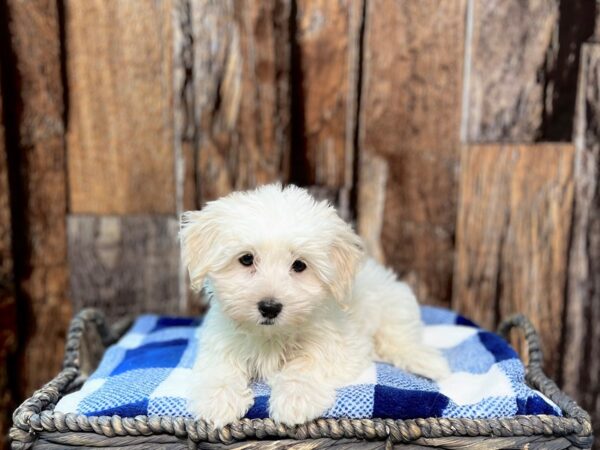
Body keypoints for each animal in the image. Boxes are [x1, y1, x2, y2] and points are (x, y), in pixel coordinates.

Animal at [180, 183, 448, 426]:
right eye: (246, 259)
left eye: (299, 265)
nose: (270, 307)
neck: (271, 336)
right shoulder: (221, 339)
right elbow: (220, 366)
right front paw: (218, 399)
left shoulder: (339, 344)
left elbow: (307, 363)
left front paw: (296, 398)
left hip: (394, 305)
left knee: (400, 338)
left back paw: (426, 362)